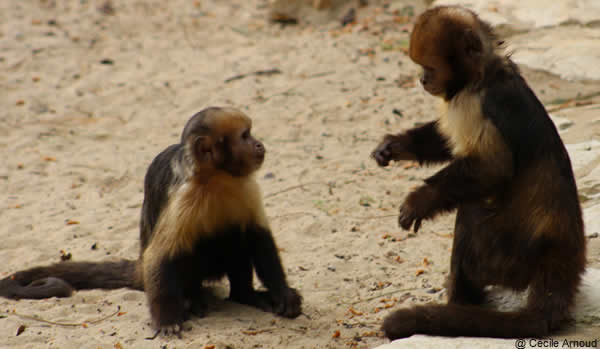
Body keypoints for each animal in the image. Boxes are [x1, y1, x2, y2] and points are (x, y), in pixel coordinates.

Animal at [0, 107, 300, 336]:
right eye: (245, 136)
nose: (258, 144)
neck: (216, 178)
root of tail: (138, 266)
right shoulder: (185, 197)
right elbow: (162, 255)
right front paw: (167, 320)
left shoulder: (244, 185)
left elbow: (259, 236)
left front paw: (282, 294)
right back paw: (193, 299)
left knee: (236, 234)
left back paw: (243, 296)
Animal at [370, 4, 584, 338]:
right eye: (420, 68)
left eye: (429, 67)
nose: (421, 79)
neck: (484, 74)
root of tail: (559, 257)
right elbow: (449, 141)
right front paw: (397, 146)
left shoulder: (476, 102)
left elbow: (493, 168)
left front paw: (420, 200)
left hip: (510, 260)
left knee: (471, 209)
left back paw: (460, 304)